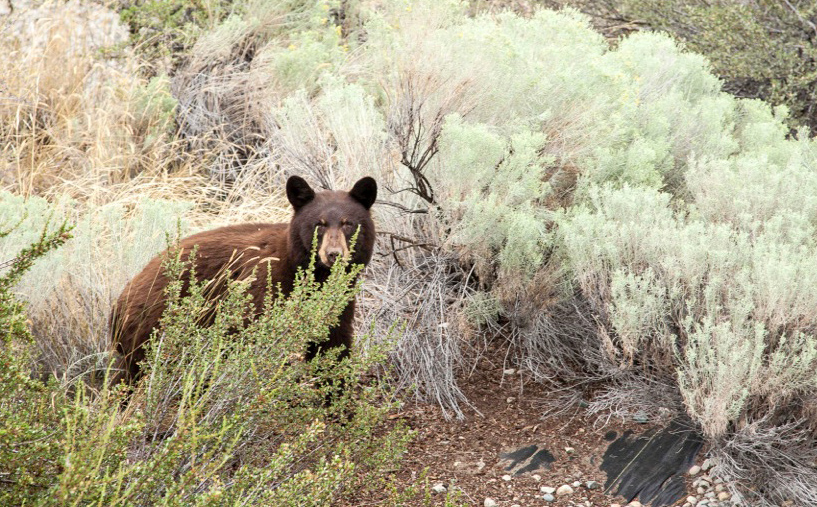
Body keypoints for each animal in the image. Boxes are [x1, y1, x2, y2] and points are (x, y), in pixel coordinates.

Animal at [110, 175, 377, 384]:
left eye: (348, 224)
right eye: (318, 225)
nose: (333, 254)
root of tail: (118, 304)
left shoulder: (339, 303)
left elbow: (333, 345)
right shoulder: (263, 287)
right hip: (151, 327)